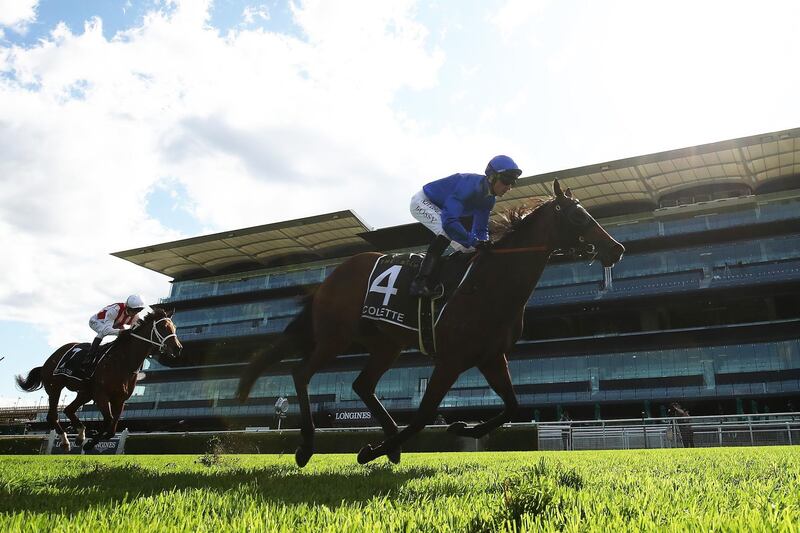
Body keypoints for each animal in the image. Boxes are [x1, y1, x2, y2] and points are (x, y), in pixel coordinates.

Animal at [15, 308, 181, 448]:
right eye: (163, 327)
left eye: (174, 327)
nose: (178, 348)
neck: (123, 361)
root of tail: (49, 360)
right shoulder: (101, 394)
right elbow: (108, 420)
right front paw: (91, 442)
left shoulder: (120, 398)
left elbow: (113, 428)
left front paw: (93, 438)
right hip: (55, 387)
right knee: (52, 416)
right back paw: (65, 441)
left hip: (85, 393)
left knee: (68, 409)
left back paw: (80, 435)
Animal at [238, 178, 624, 462]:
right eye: (578, 216)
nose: (616, 248)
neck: (491, 282)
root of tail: (332, 276)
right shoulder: (451, 359)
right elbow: (424, 415)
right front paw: (370, 451)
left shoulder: (490, 356)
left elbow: (513, 405)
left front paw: (463, 428)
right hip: (336, 336)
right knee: (301, 373)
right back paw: (307, 446)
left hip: (386, 343)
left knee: (361, 384)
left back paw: (389, 441)